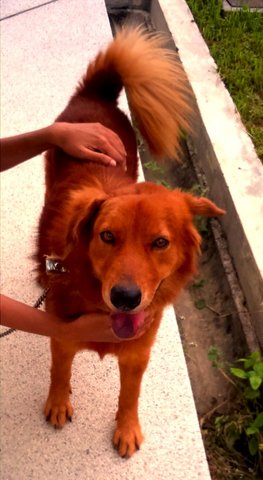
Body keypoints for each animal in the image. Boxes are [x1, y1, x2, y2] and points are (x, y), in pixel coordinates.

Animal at [36, 28, 225, 460]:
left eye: (160, 242)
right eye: (107, 236)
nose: (125, 298)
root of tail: (97, 95)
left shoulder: (138, 352)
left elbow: (130, 395)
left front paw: (126, 428)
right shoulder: (61, 334)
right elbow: (59, 371)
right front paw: (58, 403)